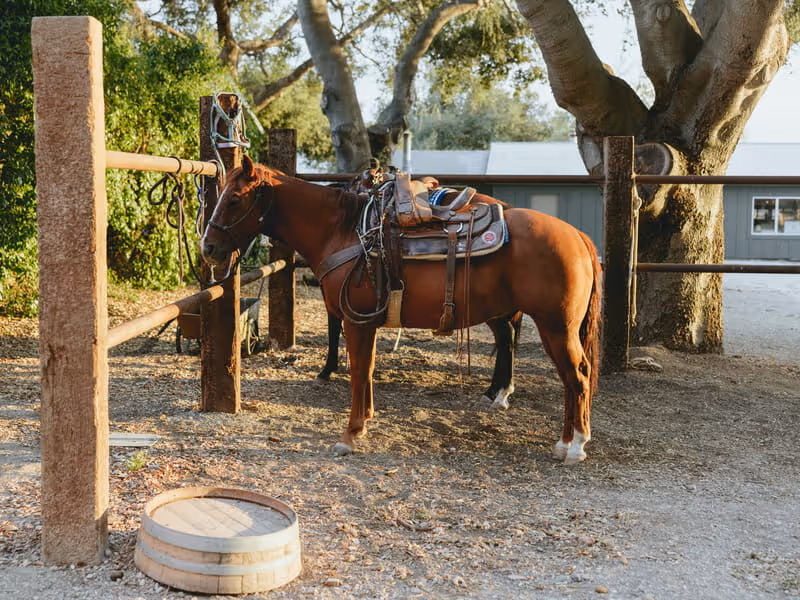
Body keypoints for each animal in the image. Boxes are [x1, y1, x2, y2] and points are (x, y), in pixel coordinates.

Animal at [201, 155, 602, 464]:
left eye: (234, 199)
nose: (208, 248)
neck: (345, 231)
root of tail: (579, 236)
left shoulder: (356, 321)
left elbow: (358, 372)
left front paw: (350, 435)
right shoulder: (366, 322)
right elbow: (366, 371)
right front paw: (364, 422)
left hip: (556, 326)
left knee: (577, 376)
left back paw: (575, 447)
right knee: (566, 376)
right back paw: (562, 441)